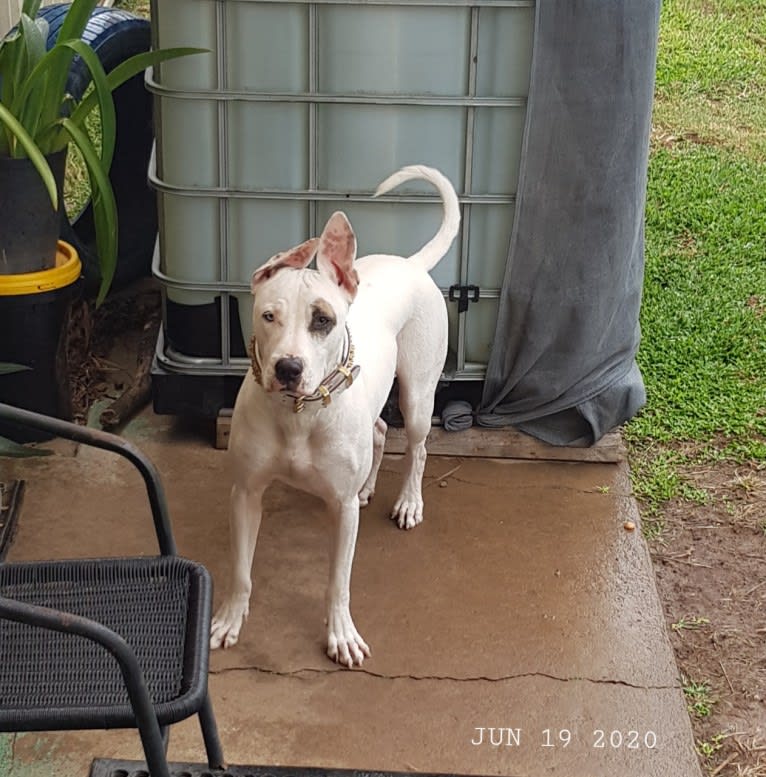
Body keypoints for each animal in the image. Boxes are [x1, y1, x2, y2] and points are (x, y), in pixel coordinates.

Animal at [210, 165, 462, 668]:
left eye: (322, 320)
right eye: (268, 316)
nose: (288, 368)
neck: (298, 413)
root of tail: (411, 264)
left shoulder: (341, 513)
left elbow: (338, 582)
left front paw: (340, 634)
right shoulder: (245, 493)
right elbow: (242, 570)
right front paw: (231, 619)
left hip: (418, 397)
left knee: (418, 447)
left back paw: (409, 502)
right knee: (380, 431)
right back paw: (369, 485)